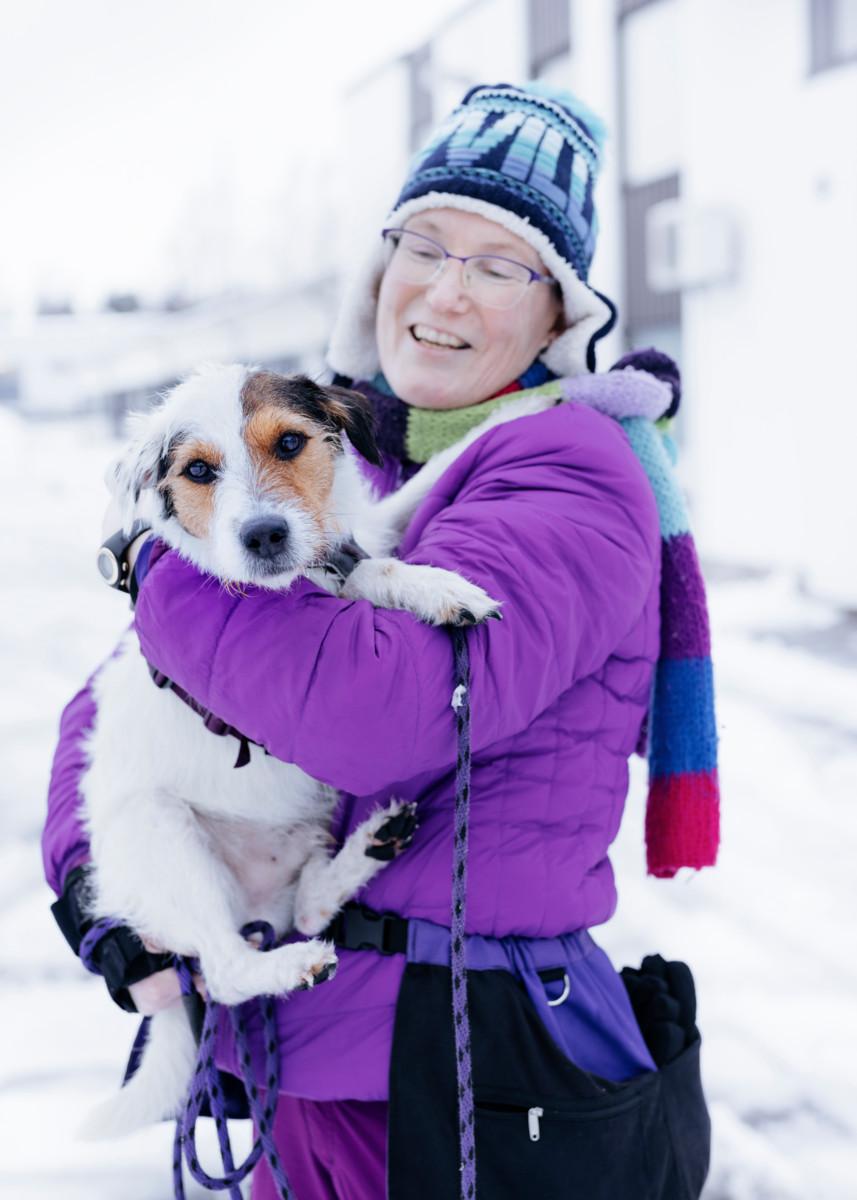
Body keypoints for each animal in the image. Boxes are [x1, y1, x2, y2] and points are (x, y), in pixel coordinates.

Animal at [80, 362, 554, 1132]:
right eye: (198, 470)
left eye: (291, 442)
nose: (265, 535)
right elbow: (363, 575)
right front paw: (437, 586)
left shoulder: (365, 528)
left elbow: (398, 516)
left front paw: (527, 413)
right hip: (166, 838)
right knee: (226, 971)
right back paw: (290, 963)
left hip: (296, 843)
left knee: (303, 908)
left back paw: (370, 847)